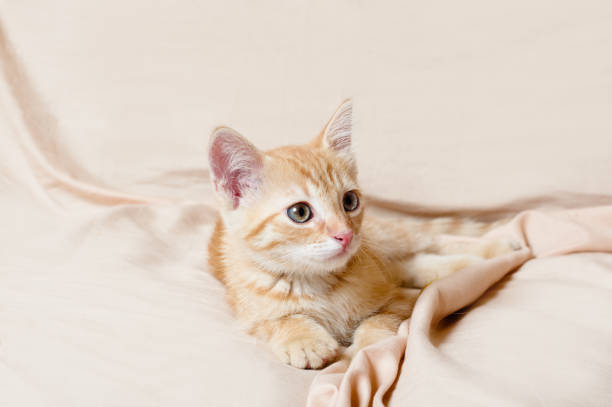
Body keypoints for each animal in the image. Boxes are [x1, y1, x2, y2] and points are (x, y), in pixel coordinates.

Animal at [208, 101, 512, 370]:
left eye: (349, 201)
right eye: (300, 212)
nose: (345, 235)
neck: (317, 283)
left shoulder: (400, 299)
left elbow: (378, 319)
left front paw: (366, 348)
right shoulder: (248, 316)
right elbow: (277, 321)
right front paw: (303, 339)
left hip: (382, 240)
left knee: (429, 240)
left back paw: (497, 250)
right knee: (414, 262)